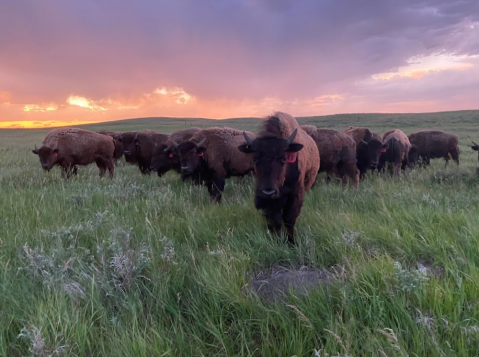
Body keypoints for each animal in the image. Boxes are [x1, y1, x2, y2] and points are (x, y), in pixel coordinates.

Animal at [239, 112, 318, 245]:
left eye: (283, 158)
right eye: (255, 158)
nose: (268, 191)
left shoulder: (295, 194)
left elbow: (289, 219)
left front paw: (292, 242)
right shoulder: (270, 200)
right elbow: (276, 220)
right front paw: (277, 240)